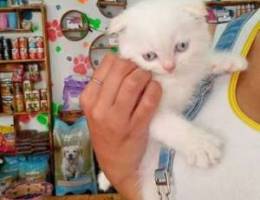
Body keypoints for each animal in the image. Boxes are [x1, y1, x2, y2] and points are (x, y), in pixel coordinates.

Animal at [98, 0, 248, 198]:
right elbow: (169, 124)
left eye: (182, 46)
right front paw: (201, 145)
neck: (174, 80)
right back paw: (103, 178)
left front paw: (226, 61)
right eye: (149, 56)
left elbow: (200, 64)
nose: (169, 67)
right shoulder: (145, 107)